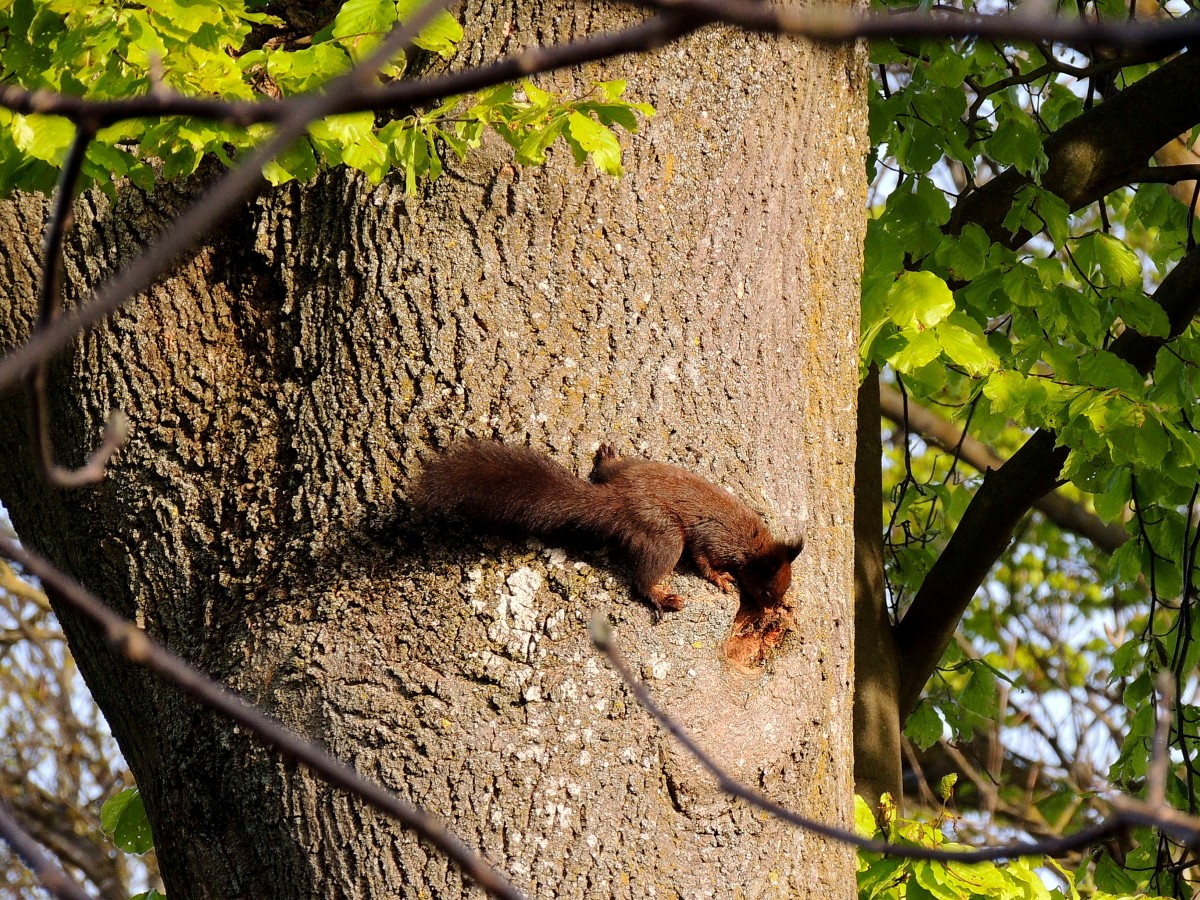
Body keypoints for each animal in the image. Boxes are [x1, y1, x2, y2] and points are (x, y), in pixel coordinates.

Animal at [415, 441, 806, 619]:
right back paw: (660, 596)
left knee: (609, 469)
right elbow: (704, 561)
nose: (772, 610)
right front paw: (722, 579)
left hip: (630, 472)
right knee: (644, 577)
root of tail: (616, 498)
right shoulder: (715, 540)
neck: (754, 547)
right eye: (767, 591)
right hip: (663, 534)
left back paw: (607, 457)